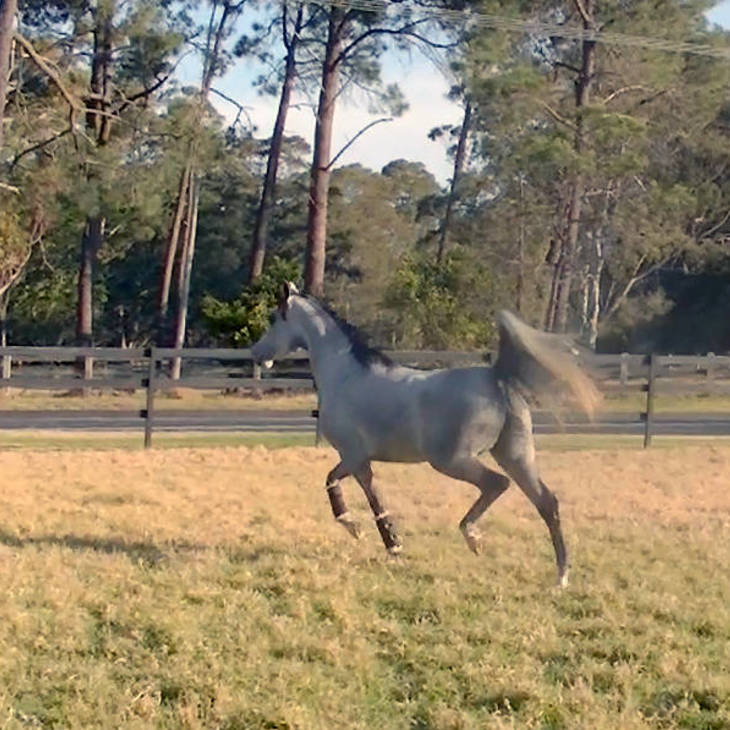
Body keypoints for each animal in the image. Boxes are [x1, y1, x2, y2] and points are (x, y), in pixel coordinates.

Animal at [251, 283, 599, 587]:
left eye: (275, 317)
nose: (256, 352)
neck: (346, 375)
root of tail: (497, 377)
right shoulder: (363, 463)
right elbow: (375, 500)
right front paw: (393, 545)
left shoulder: (352, 456)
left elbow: (333, 483)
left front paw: (356, 528)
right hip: (515, 455)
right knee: (547, 503)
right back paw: (561, 577)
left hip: (453, 460)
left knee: (498, 484)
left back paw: (473, 538)